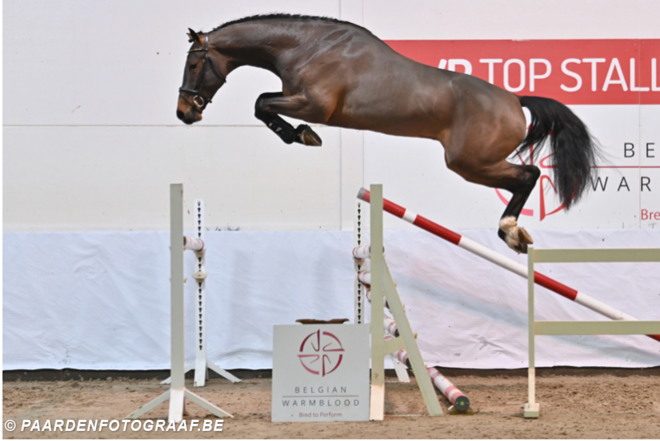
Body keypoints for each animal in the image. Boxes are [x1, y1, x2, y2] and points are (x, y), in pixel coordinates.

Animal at [176, 14, 599, 254]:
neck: (306, 47)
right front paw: (301, 134)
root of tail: (514, 99)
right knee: (525, 177)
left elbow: (262, 103)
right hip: (473, 163)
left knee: (529, 175)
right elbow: (263, 103)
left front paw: (301, 135)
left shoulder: (312, 104)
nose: (184, 113)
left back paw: (511, 232)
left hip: (469, 162)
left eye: (195, 64)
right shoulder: (300, 99)